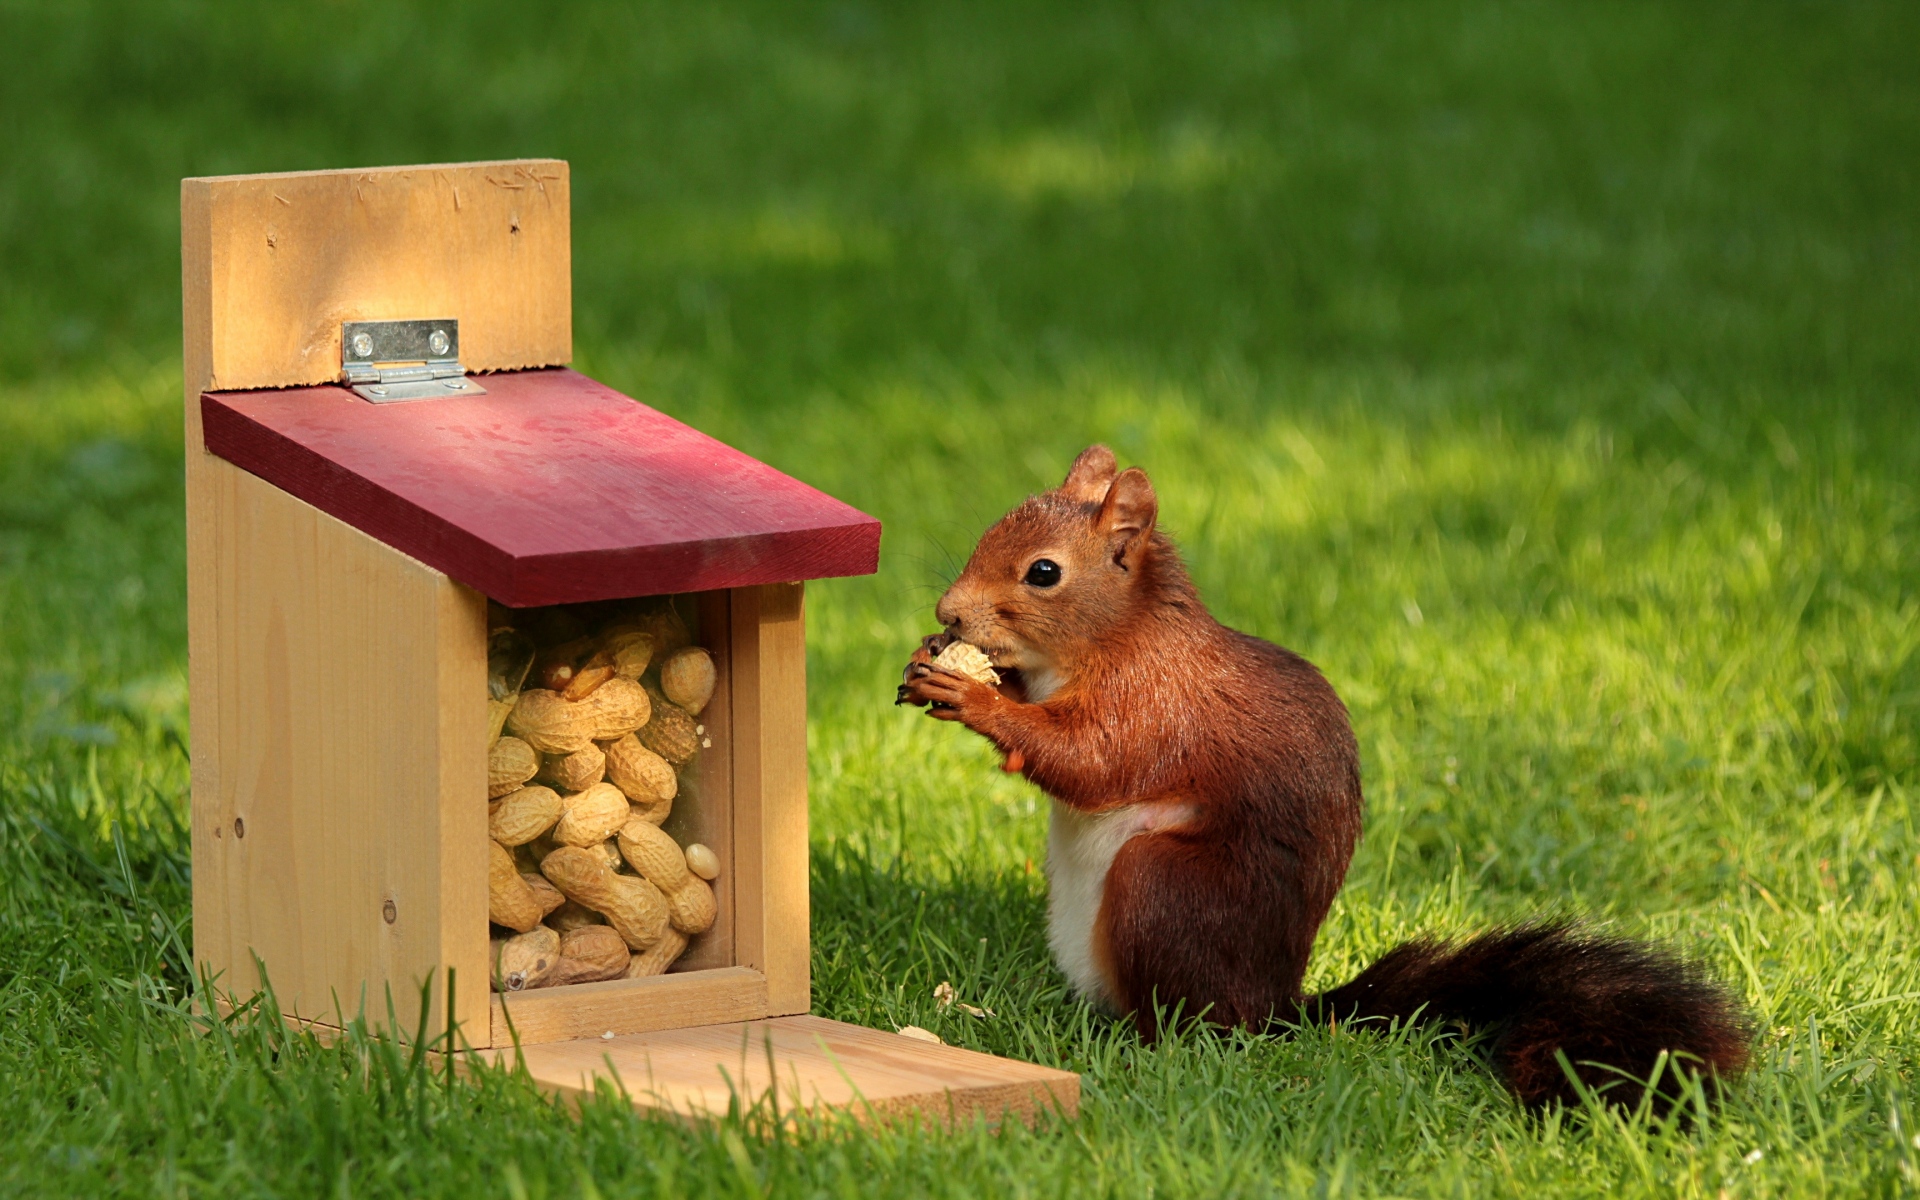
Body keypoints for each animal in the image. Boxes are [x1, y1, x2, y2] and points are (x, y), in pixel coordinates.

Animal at [898, 445, 1751, 1108]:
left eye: (1044, 573)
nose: (948, 611)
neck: (1113, 637)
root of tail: (1276, 1007)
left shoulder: (1157, 703)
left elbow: (1090, 762)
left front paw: (974, 697)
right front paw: (939, 667)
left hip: (1162, 889)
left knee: (1194, 1026)